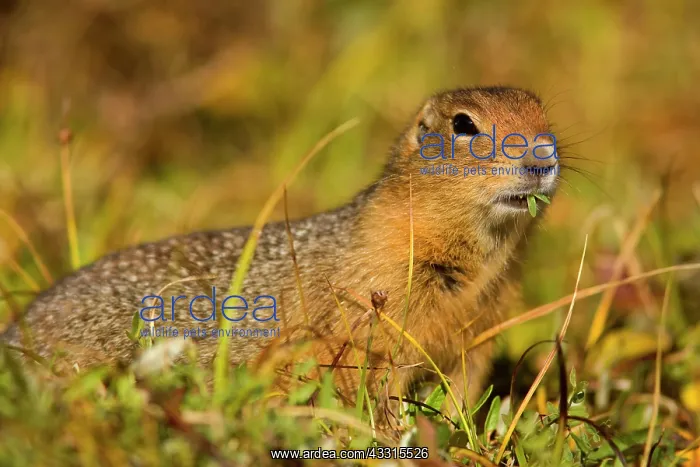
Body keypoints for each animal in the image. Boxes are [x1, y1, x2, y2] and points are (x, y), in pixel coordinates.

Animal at [3, 86, 559, 406]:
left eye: (545, 116)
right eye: (463, 124)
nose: (543, 159)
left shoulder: (483, 330)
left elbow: (461, 393)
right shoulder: (373, 322)